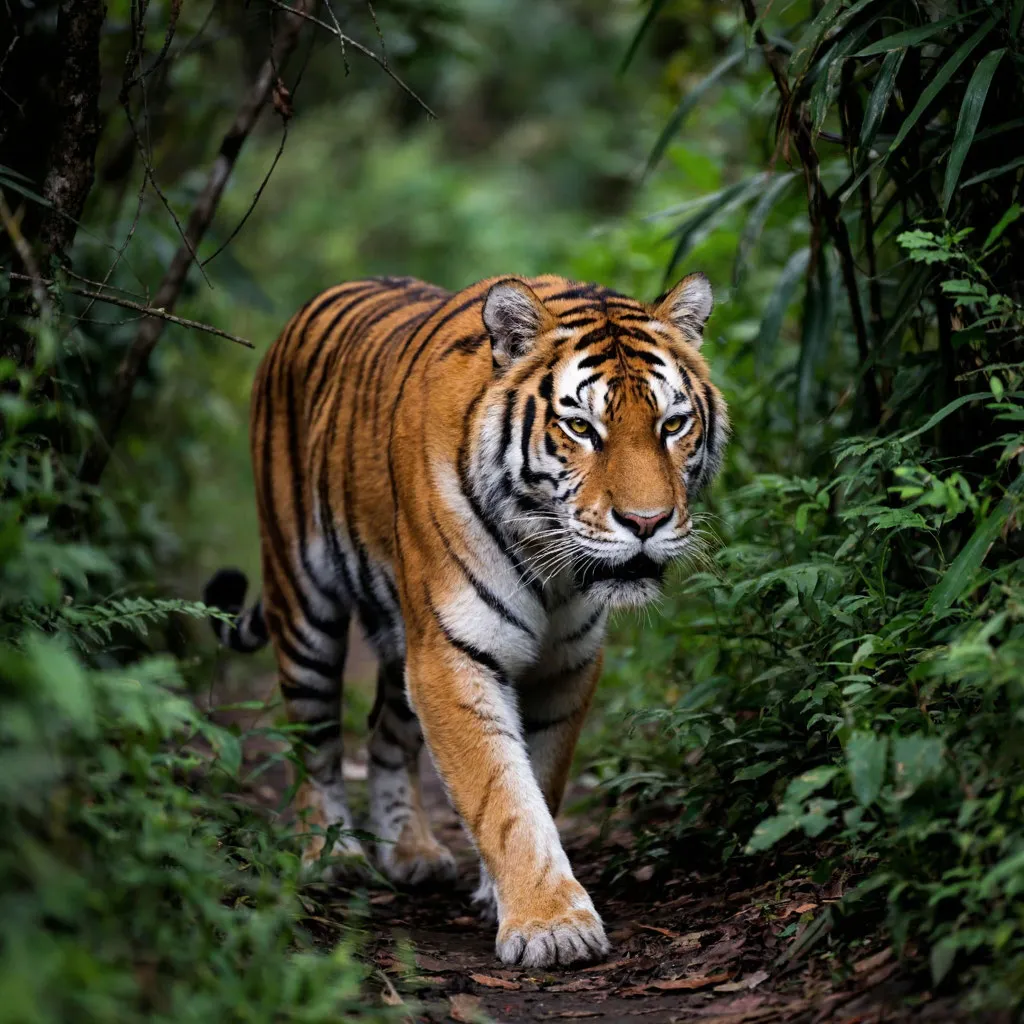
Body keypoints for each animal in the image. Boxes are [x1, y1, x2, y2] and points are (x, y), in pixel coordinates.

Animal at [203, 271, 728, 969]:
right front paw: (551, 926)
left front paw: (499, 895)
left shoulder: (565, 664)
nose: (646, 523)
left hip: (404, 640)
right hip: (305, 605)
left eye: (673, 423)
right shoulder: (453, 657)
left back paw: (412, 851)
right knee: (313, 743)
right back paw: (332, 855)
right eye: (581, 427)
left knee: (383, 733)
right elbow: (502, 796)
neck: (554, 568)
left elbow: (540, 780)